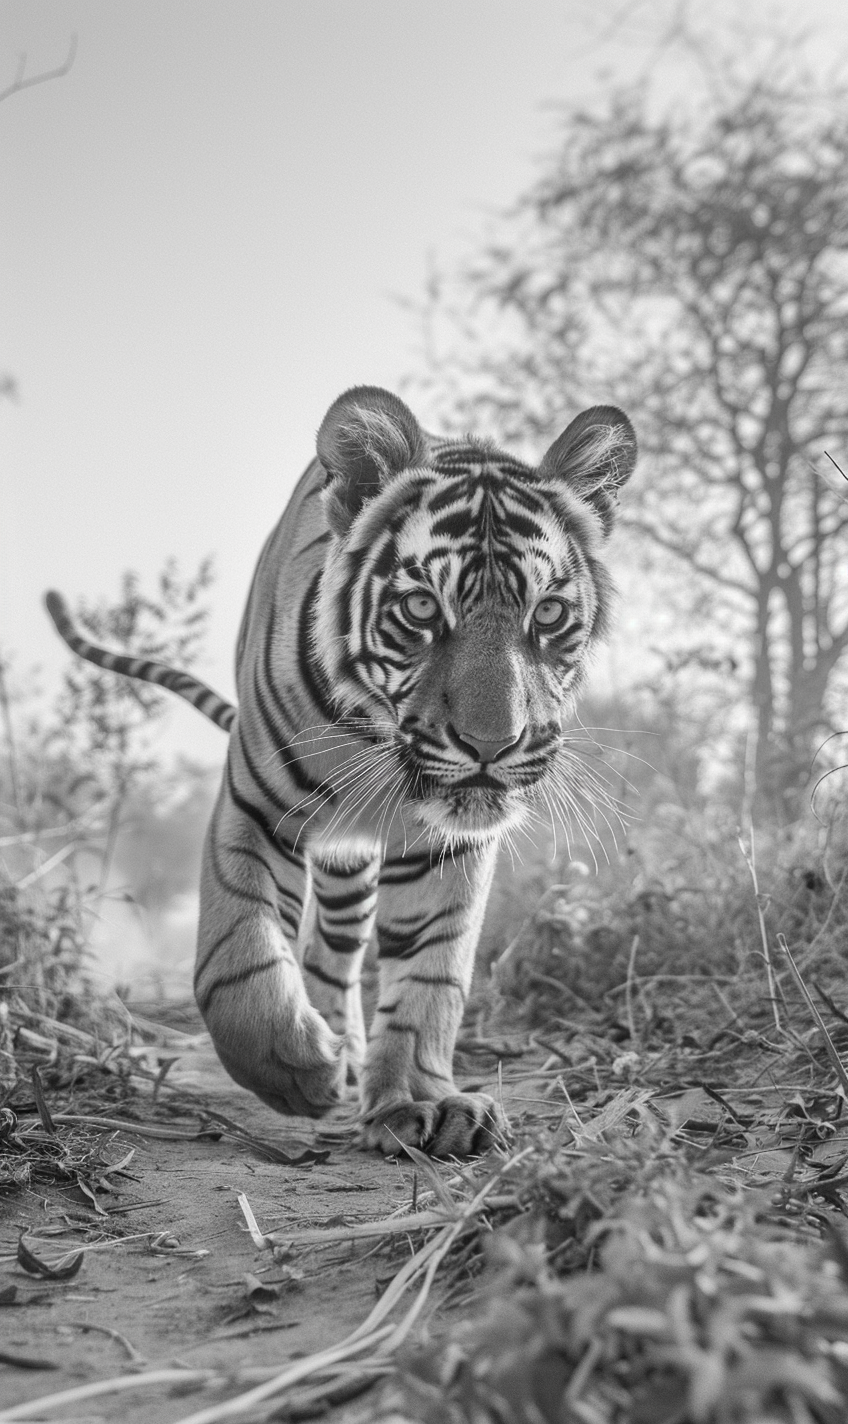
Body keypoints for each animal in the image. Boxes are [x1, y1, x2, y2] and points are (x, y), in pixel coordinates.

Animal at [43, 387, 631, 1156]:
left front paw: (420, 1102)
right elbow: (237, 959)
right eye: (422, 607)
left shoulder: (449, 845)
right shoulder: (254, 809)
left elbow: (430, 979)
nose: (492, 744)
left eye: (550, 613)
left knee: (337, 953)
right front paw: (293, 1070)